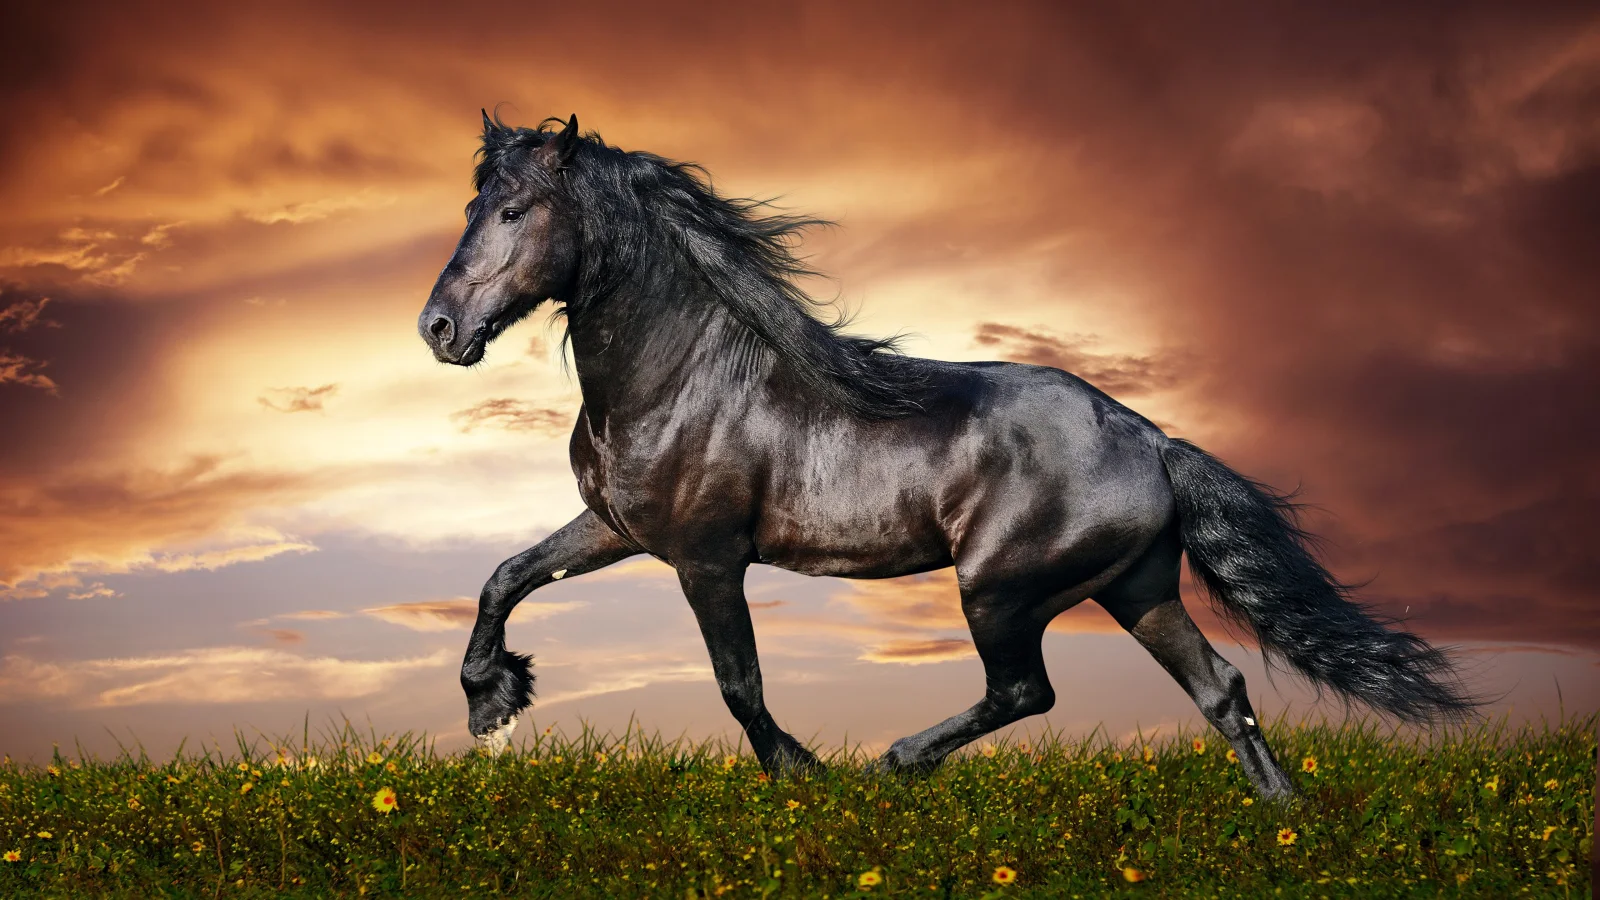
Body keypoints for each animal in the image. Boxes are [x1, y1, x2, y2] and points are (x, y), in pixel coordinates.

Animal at [417, 112, 1477, 798]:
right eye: (472, 207)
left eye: (514, 212)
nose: (439, 329)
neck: (681, 375)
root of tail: (1151, 440)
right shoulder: (619, 527)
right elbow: (505, 575)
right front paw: (492, 703)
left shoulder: (707, 558)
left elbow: (738, 683)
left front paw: (803, 777)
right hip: (1136, 587)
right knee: (1221, 691)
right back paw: (1281, 820)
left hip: (999, 588)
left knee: (1026, 690)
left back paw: (895, 762)